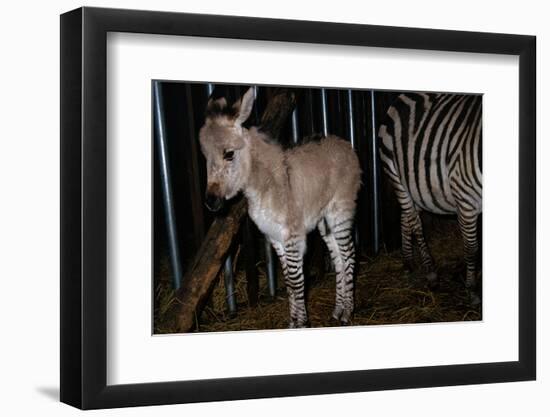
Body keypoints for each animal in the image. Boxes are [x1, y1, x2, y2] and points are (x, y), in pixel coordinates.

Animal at [198, 88, 362, 328]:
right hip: (324, 220)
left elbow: (295, 281)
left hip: (340, 211)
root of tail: (342, 143)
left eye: (229, 154)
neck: (263, 185)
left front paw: (301, 324)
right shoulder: (275, 237)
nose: (211, 202)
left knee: (349, 254)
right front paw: (293, 323)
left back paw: (347, 313)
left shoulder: (292, 236)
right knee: (339, 257)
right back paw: (338, 310)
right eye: (206, 157)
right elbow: (289, 281)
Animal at [380, 92, 484, 298]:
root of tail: (404, 95)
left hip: (417, 186)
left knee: (406, 217)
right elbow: (472, 248)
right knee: (415, 223)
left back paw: (408, 264)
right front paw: (472, 289)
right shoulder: (465, 198)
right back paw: (430, 274)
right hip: (395, 174)